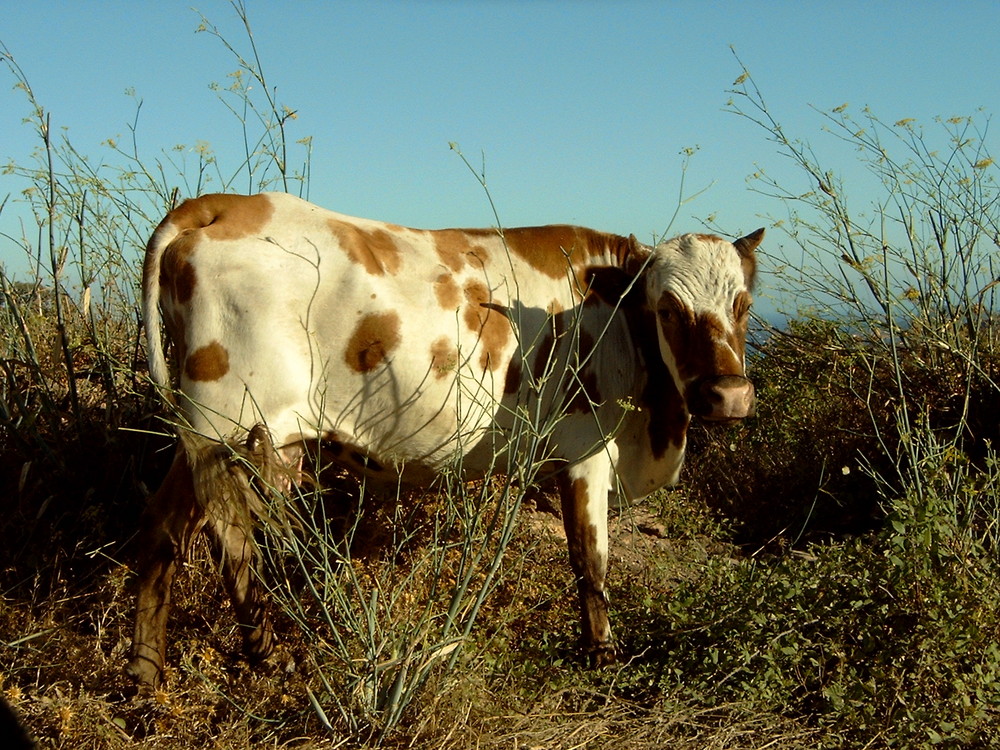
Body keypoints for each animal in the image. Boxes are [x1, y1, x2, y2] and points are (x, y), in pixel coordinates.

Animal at [127, 191, 764, 692]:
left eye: (743, 303)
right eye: (668, 308)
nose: (729, 395)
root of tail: (223, 203)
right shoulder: (583, 452)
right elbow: (591, 563)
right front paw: (602, 657)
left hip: (228, 438)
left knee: (164, 526)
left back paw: (145, 677)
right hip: (225, 426)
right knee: (227, 534)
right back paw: (264, 655)